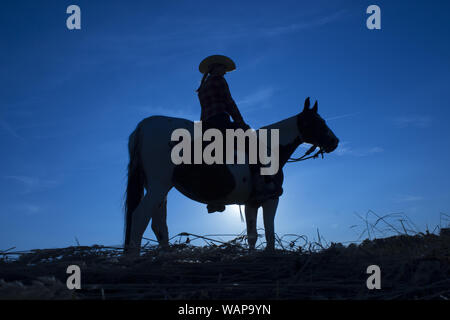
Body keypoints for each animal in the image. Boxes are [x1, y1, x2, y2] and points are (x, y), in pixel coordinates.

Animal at [123, 96, 338, 256]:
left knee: (159, 224)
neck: (271, 147)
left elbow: (252, 235)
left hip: (160, 190)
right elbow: (269, 232)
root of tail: (144, 126)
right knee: (140, 217)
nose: (335, 142)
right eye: (318, 122)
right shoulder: (271, 199)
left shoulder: (252, 202)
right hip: (159, 186)